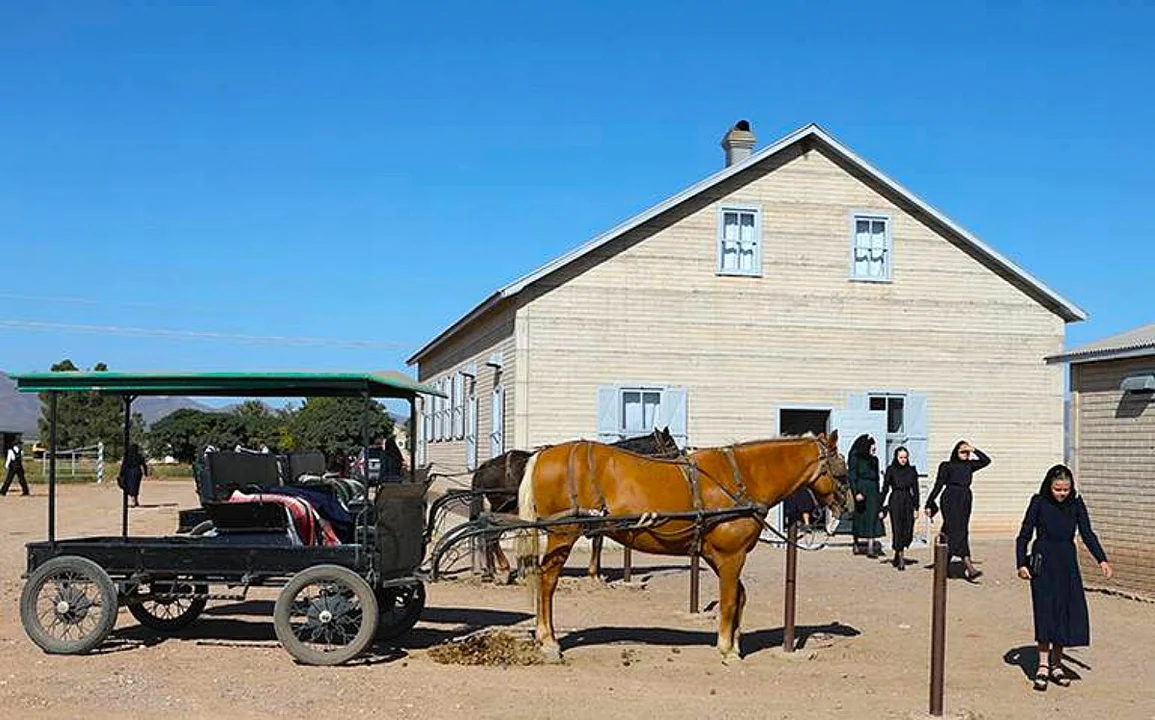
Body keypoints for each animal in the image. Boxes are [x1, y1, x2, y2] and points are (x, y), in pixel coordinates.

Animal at [468, 427, 679, 587]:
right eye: (671, 444)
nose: (679, 462)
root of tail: (485, 466)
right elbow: (597, 542)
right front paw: (594, 574)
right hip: (504, 508)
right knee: (491, 534)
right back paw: (501, 570)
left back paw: (493, 571)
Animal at [515, 434, 850, 665]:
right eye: (842, 471)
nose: (849, 505)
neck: (743, 477)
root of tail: (543, 455)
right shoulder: (732, 556)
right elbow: (730, 600)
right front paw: (727, 649)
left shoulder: (717, 556)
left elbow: (740, 597)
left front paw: (736, 642)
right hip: (562, 535)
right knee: (547, 582)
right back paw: (549, 639)